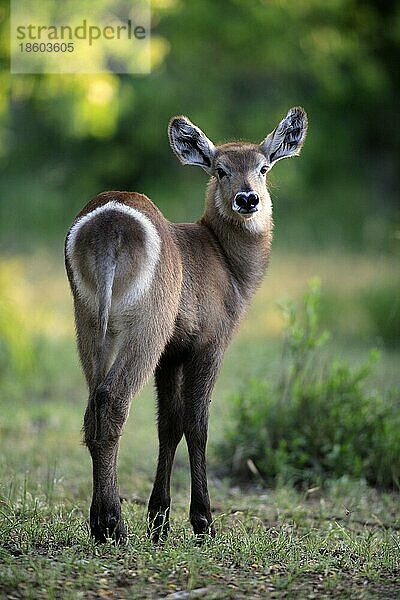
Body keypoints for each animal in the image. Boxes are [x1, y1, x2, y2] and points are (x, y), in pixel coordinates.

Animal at [64, 106, 308, 544]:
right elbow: (197, 425)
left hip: (87, 319)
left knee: (93, 406)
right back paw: (112, 525)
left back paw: (100, 522)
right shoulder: (209, 343)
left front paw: (159, 520)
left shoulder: (172, 353)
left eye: (263, 167)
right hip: (147, 323)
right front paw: (202, 521)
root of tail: (110, 223)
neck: (227, 265)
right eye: (219, 169)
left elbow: (168, 425)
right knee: (113, 401)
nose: (248, 198)